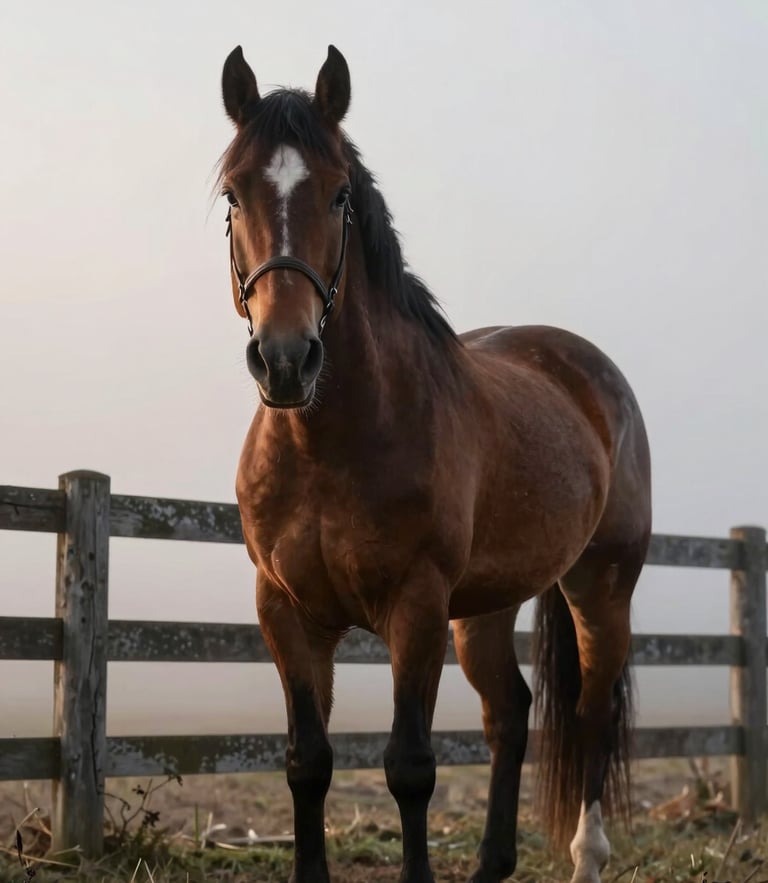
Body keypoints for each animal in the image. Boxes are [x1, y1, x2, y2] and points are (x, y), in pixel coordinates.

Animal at [217, 44, 651, 883]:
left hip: (600, 585)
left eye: (340, 194)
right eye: (232, 192)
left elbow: (410, 766)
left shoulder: (414, 607)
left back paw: (587, 855)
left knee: (588, 712)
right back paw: (491, 863)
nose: (285, 358)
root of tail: (591, 371)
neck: (332, 444)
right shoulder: (285, 609)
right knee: (509, 713)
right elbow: (308, 762)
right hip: (484, 607)